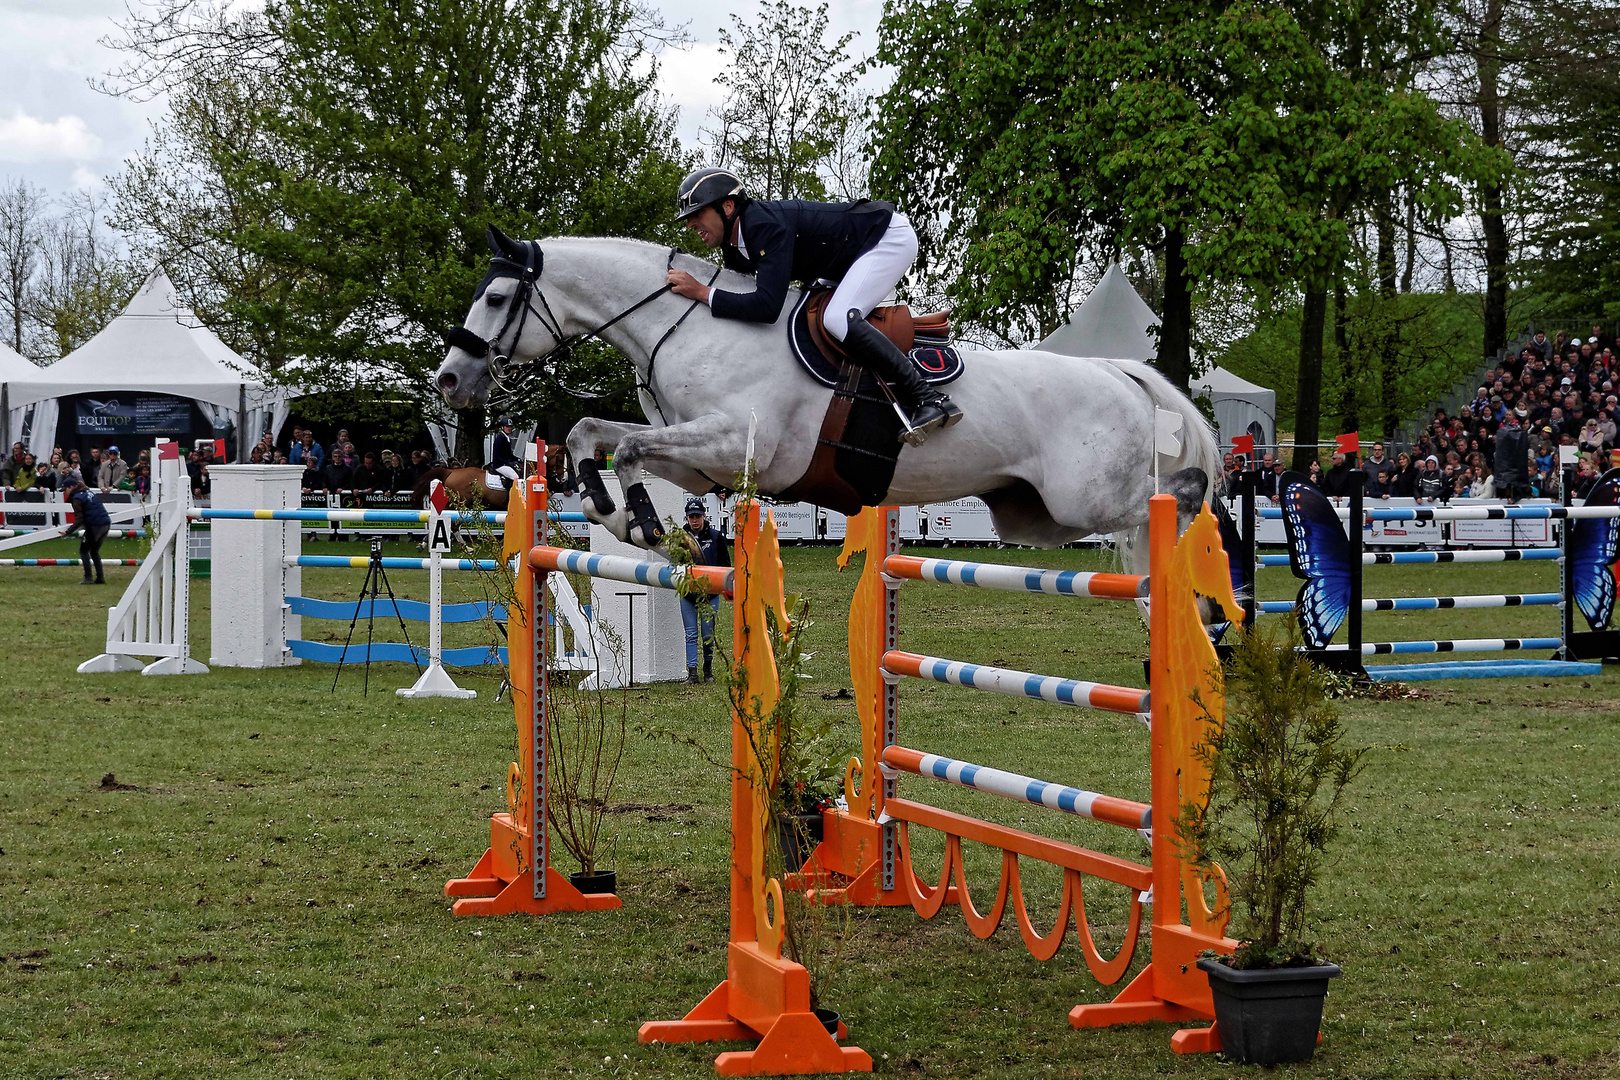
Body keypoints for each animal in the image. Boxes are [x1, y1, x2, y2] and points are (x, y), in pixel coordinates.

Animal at [430, 234, 1218, 566]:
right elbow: (593, 434)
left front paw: (648, 526)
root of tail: (1118, 371)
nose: (449, 380)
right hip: (1033, 515)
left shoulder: (733, 443)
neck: (690, 322)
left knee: (1177, 493)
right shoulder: (699, 459)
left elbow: (625, 445)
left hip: (1085, 499)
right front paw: (613, 513)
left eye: (495, 297)